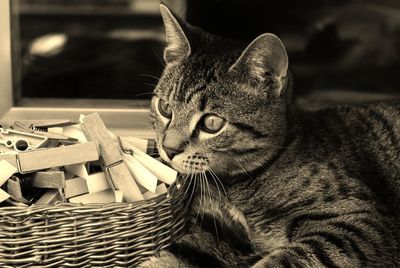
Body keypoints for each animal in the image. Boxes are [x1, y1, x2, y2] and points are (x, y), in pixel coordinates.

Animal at [139, 4, 398, 268]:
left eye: (212, 123)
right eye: (165, 108)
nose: (168, 149)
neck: (233, 185)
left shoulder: (358, 222)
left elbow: (285, 259)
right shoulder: (217, 231)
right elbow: (176, 253)